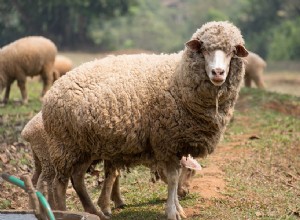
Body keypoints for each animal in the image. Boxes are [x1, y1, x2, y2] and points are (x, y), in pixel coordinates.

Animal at [41, 21, 248, 220]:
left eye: (232, 51)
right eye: (203, 49)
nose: (218, 72)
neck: (178, 78)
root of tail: (52, 92)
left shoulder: (177, 143)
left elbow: (174, 178)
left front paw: (178, 209)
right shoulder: (167, 141)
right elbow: (173, 178)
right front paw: (172, 212)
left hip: (84, 146)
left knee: (77, 179)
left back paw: (95, 212)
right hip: (65, 145)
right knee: (59, 184)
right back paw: (64, 212)